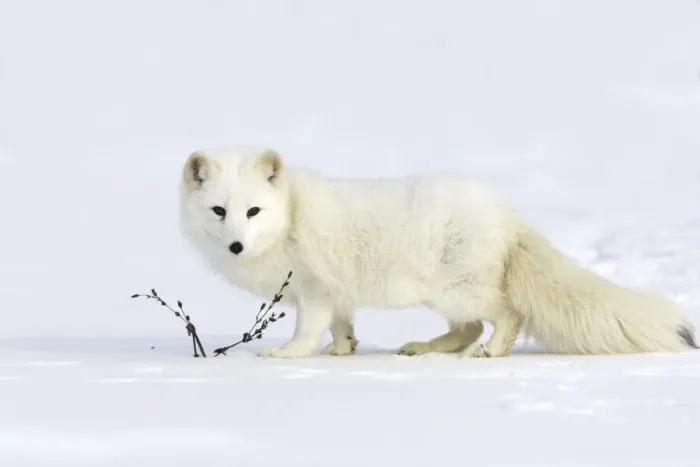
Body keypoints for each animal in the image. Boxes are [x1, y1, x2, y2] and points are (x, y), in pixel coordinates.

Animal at [178, 146, 697, 359]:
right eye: (220, 210)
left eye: (254, 211)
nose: (236, 244)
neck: (290, 217)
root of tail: (505, 213)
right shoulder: (338, 295)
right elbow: (344, 328)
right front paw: (343, 351)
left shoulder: (315, 292)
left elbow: (306, 332)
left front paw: (286, 356)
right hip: (445, 295)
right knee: (467, 328)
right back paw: (422, 348)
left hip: (457, 291)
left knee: (504, 316)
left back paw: (490, 351)